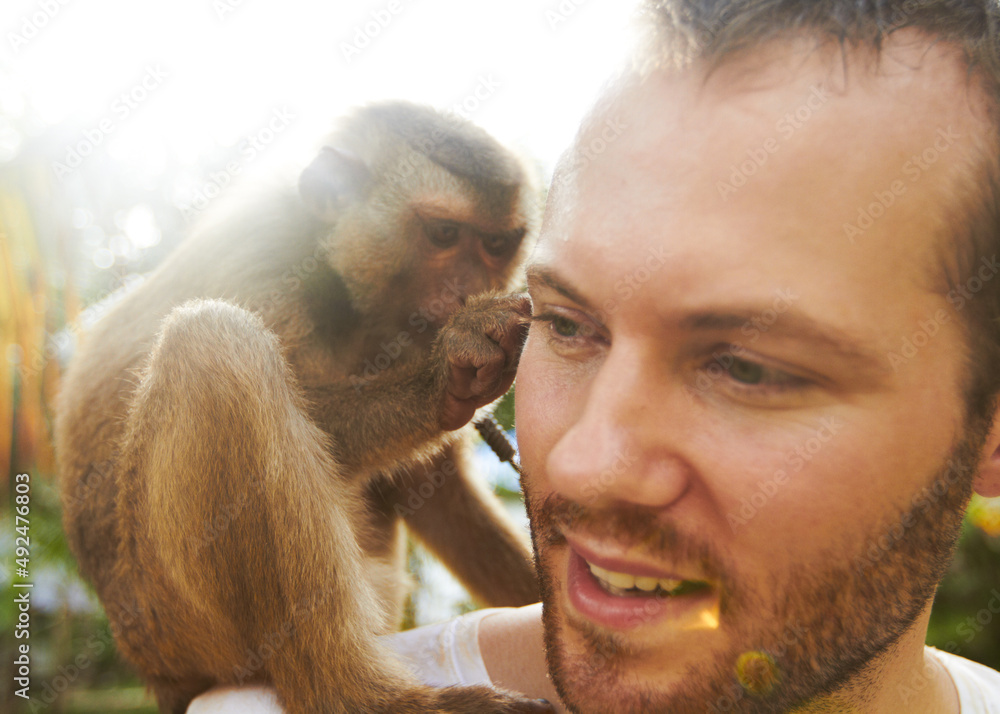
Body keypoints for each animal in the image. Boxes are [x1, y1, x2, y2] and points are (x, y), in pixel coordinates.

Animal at [53, 100, 548, 712]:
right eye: (443, 234)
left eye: (497, 245)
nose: (465, 291)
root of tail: (159, 676)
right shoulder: (268, 255)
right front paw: (443, 377)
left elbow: (433, 491)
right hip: (177, 623)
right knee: (211, 345)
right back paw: (357, 694)